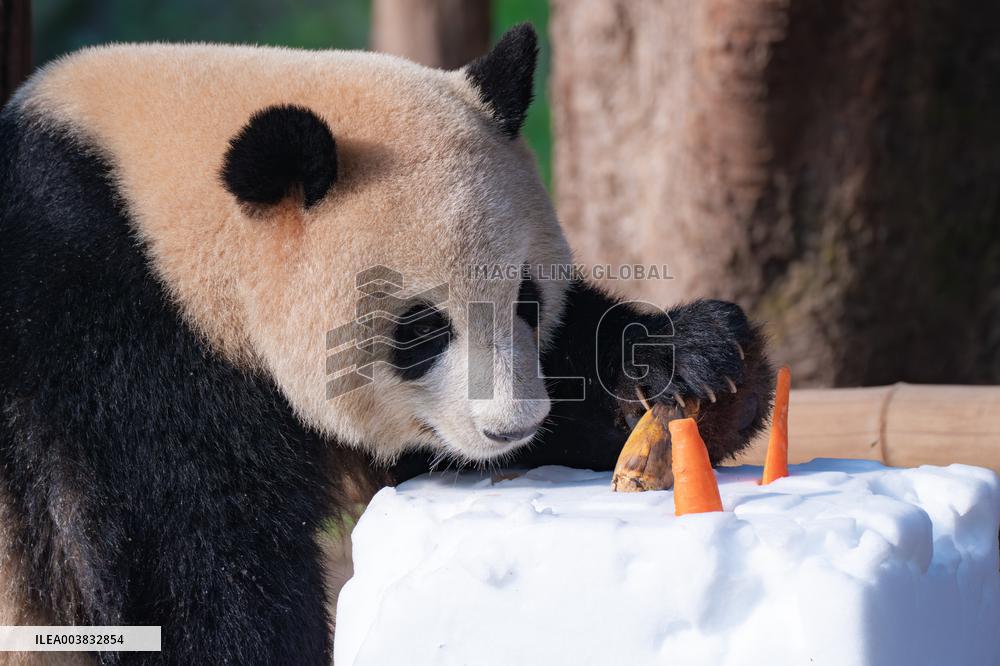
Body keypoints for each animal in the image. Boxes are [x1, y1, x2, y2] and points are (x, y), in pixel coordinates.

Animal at [0, 24, 772, 665]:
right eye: (421, 329)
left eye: (528, 300)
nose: (512, 426)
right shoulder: (102, 337)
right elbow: (190, 563)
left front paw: (694, 364)